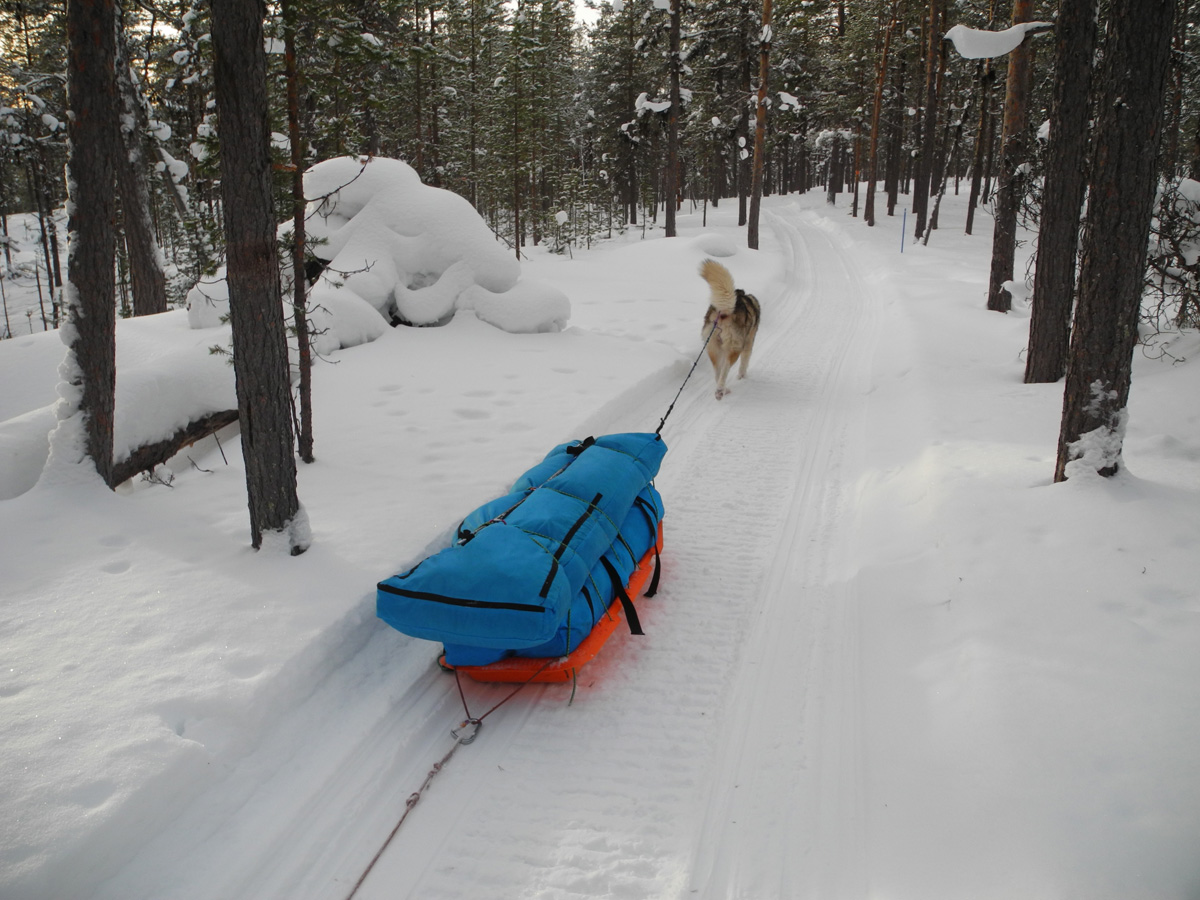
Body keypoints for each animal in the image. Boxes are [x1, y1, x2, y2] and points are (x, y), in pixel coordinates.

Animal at [700, 260, 763, 400]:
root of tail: (723, 312)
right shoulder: (748, 344)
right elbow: (744, 363)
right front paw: (742, 376)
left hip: (713, 347)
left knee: (717, 371)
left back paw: (723, 390)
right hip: (735, 348)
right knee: (725, 369)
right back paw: (720, 390)